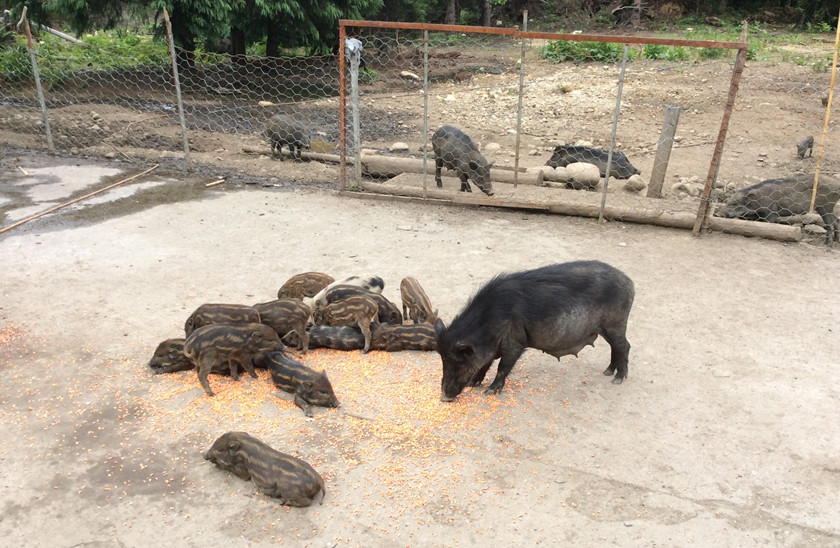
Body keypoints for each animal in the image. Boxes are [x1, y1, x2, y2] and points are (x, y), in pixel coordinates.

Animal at [436, 262, 632, 402]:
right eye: (443, 359)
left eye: (458, 359)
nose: (444, 397)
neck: (490, 323)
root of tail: (630, 283)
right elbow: (486, 363)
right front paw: (472, 385)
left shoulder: (516, 342)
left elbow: (502, 367)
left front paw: (489, 392)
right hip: (608, 328)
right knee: (616, 347)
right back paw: (607, 372)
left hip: (615, 324)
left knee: (625, 346)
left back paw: (617, 379)